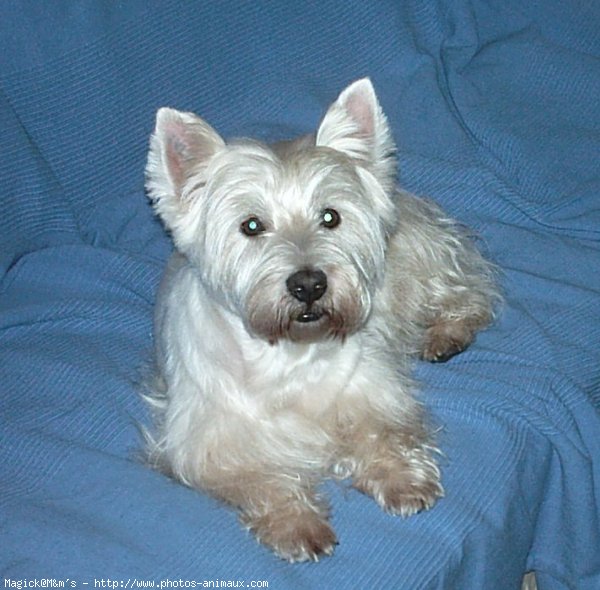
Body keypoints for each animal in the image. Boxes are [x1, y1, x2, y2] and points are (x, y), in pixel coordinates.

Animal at [143, 78, 500, 564]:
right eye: (250, 225)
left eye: (330, 216)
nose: (309, 284)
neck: (291, 352)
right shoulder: (204, 442)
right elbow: (261, 480)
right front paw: (296, 524)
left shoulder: (373, 390)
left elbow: (384, 432)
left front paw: (402, 479)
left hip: (417, 262)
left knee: (469, 290)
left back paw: (446, 334)